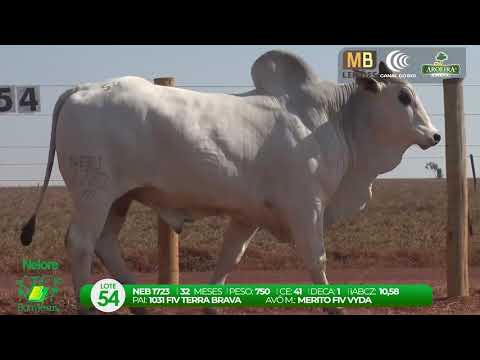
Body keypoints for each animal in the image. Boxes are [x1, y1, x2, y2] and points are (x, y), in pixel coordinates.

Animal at [20, 49, 440, 314]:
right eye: (403, 96)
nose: (435, 136)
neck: (333, 119)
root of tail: (82, 89)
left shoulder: (248, 215)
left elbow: (228, 257)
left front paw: (210, 305)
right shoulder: (307, 206)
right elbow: (316, 258)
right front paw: (334, 307)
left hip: (119, 198)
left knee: (105, 243)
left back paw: (141, 304)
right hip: (95, 193)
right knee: (81, 243)